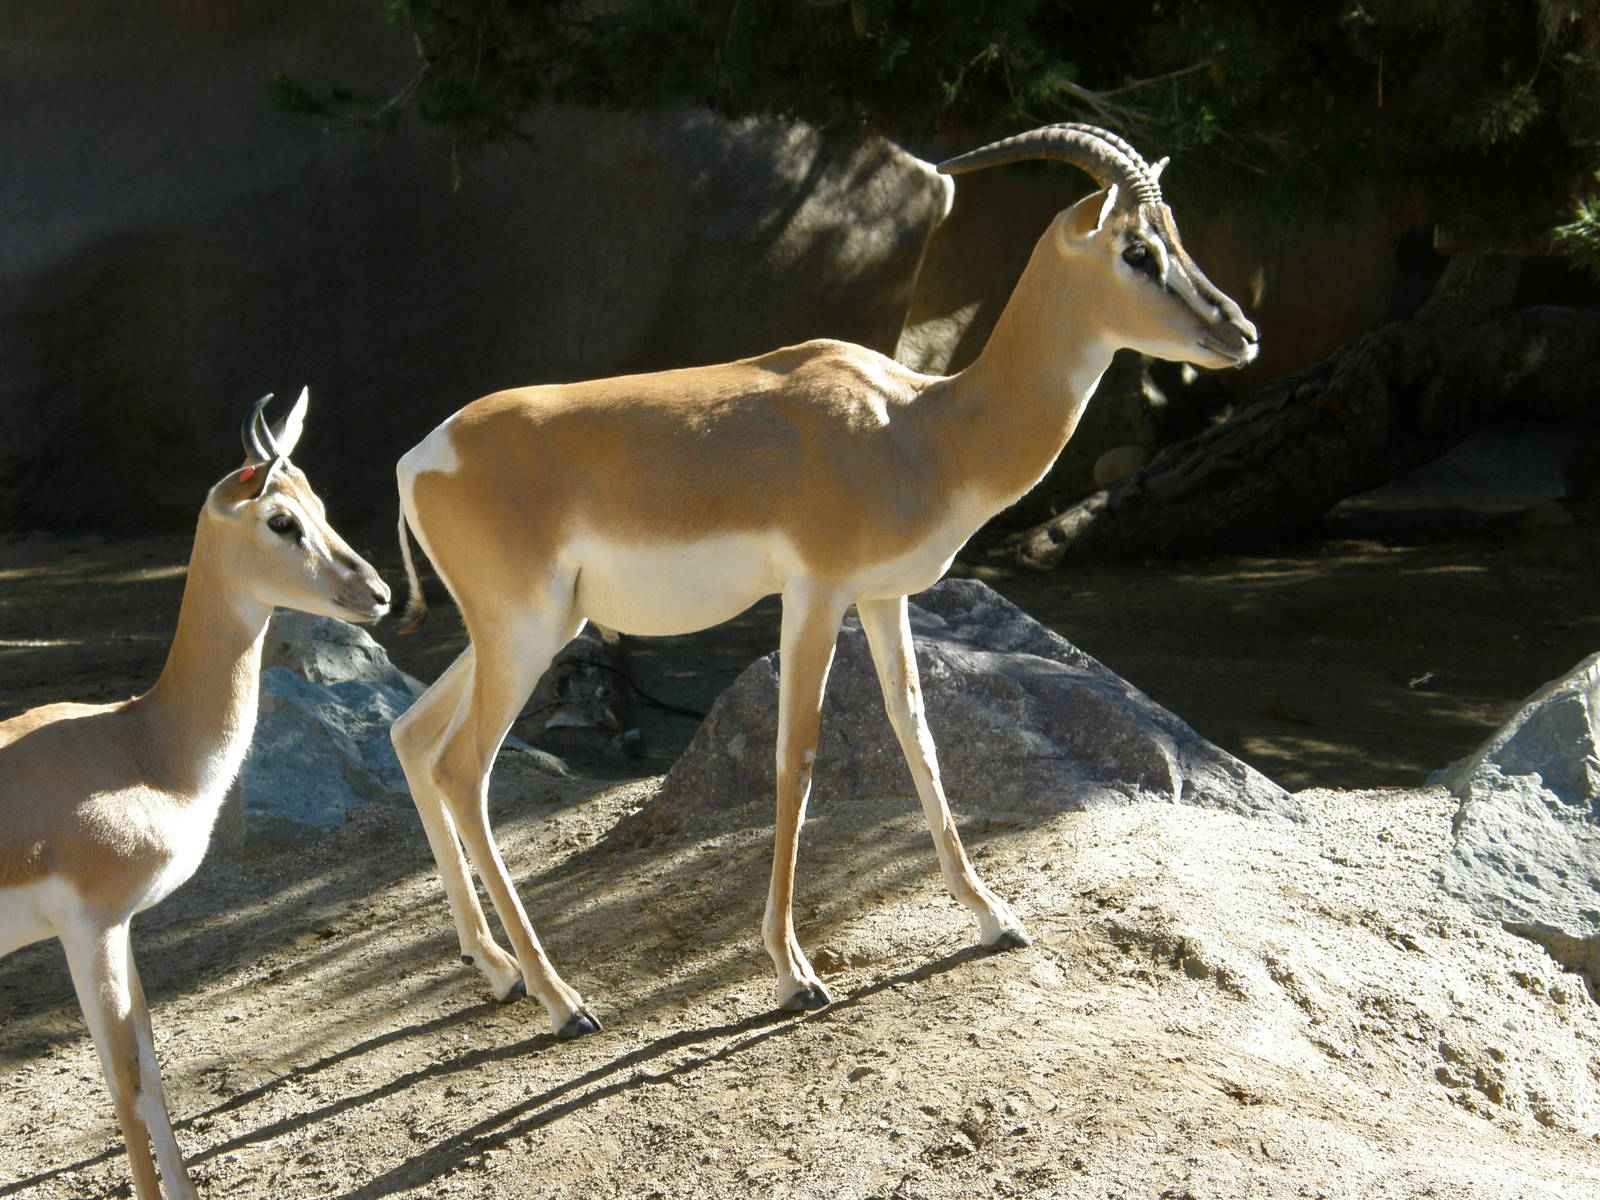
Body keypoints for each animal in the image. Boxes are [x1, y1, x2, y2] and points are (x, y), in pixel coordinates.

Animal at [0, 392, 390, 1200]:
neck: (141, 745)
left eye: (320, 502)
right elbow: (122, 1084)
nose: (377, 593)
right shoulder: (88, 928)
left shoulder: (120, 930)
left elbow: (151, 1069)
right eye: (280, 520)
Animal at [391, 123, 1257, 1036]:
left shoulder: (882, 596)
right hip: (524, 634)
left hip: (525, 631)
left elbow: (918, 734)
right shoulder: (814, 594)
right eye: (1138, 250)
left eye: (1179, 237)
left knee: (412, 737)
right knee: (462, 769)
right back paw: (564, 1001)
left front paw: (994, 918)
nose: (1241, 333)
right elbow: (796, 756)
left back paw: (497, 969)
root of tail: (423, 457)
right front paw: (792, 973)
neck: (921, 426)